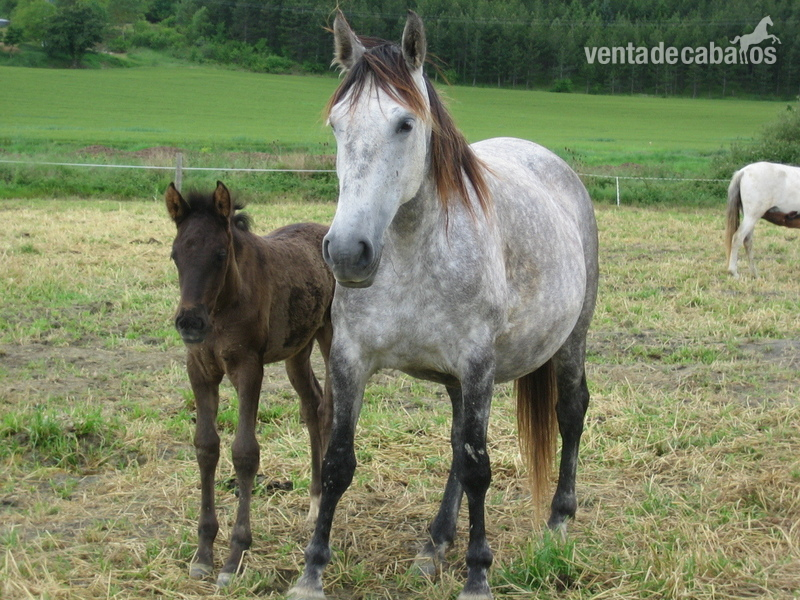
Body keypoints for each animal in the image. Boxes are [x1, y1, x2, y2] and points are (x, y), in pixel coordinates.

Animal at [165, 181, 335, 587]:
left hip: (331, 337)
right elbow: (206, 447)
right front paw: (203, 553)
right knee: (312, 405)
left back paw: (322, 504)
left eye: (220, 253)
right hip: (297, 348)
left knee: (329, 408)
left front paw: (234, 557)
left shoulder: (248, 367)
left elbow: (244, 452)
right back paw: (313, 501)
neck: (223, 306)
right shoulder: (199, 369)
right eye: (175, 254)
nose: (189, 322)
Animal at [289, 11, 599, 600]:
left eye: (405, 124)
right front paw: (311, 572)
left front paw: (478, 575)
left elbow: (479, 469)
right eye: (337, 125)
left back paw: (558, 523)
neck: (412, 252)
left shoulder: (477, 365)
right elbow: (338, 463)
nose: (348, 252)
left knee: (570, 414)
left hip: (571, 340)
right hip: (459, 380)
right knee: (458, 444)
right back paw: (435, 543)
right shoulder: (350, 359)